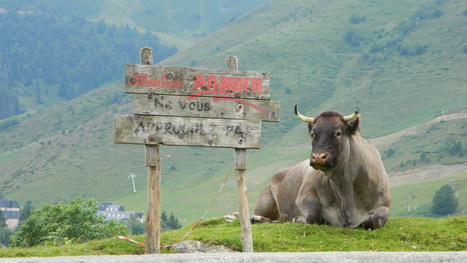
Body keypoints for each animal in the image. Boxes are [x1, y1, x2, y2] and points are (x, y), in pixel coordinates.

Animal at [252, 106, 392, 230]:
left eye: (338, 133)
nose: (318, 157)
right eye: (313, 134)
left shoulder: (384, 205)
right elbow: (312, 215)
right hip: (265, 200)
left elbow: (374, 220)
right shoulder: (304, 196)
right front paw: (297, 219)